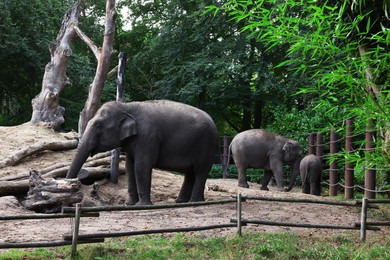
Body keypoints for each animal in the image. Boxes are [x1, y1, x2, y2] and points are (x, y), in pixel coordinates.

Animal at [67, 99, 219, 205]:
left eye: (98, 126)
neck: (127, 106)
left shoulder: (147, 137)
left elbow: (141, 166)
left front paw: (143, 205)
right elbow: (129, 167)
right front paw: (130, 204)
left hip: (207, 146)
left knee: (200, 171)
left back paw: (195, 202)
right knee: (190, 173)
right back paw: (181, 202)